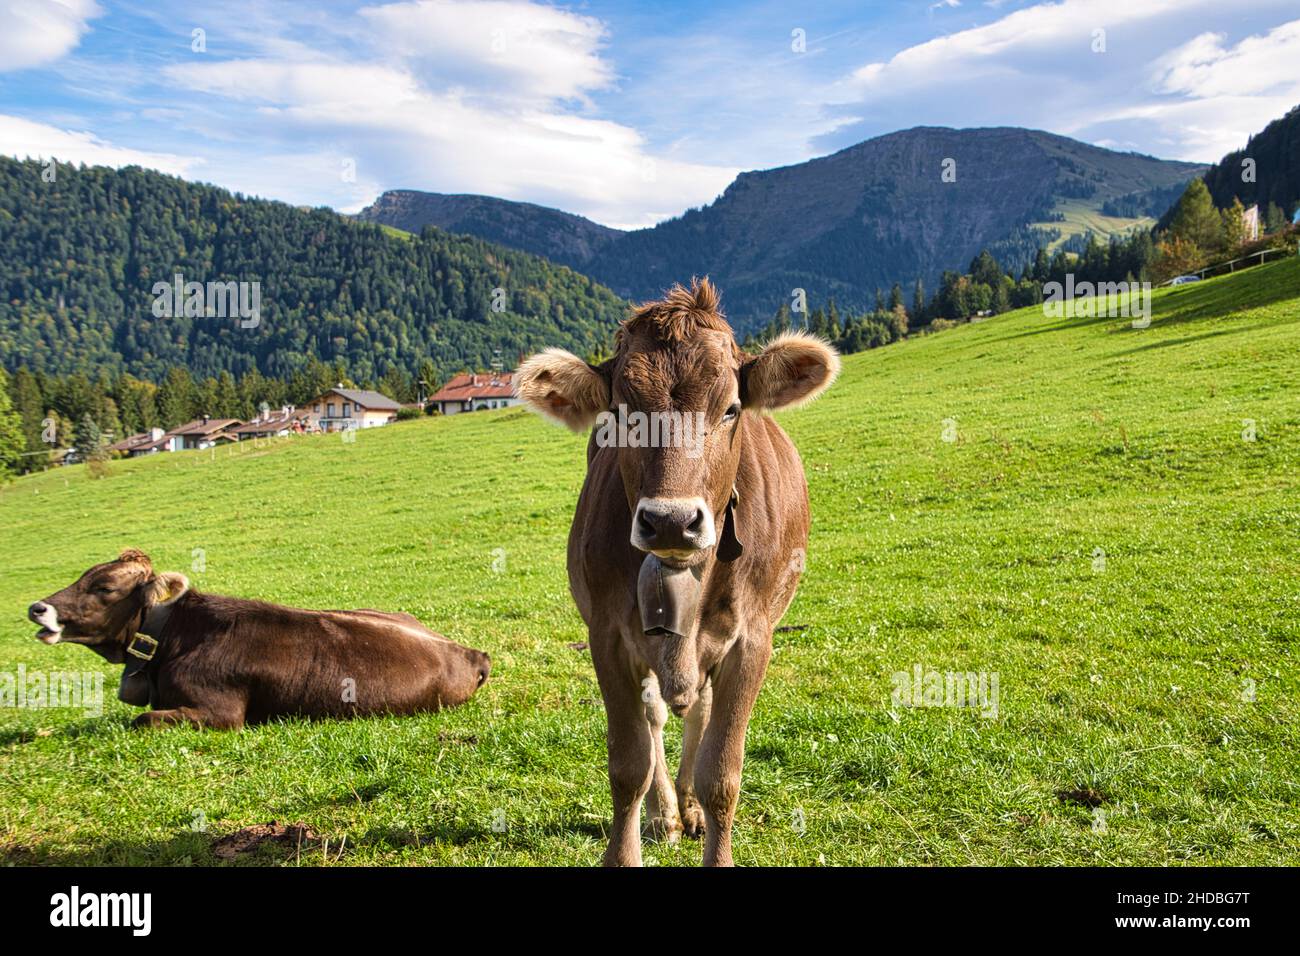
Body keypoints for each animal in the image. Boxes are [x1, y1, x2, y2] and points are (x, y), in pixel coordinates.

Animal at [27, 550, 490, 730]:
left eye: (104, 587)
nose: (37, 607)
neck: (177, 636)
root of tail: (470, 652)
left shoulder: (220, 713)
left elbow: (141, 719)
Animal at [516, 278, 838, 866]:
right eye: (620, 414)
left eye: (731, 409)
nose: (670, 520)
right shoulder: (607, 635)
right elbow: (630, 764)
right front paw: (628, 848)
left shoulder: (752, 638)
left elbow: (722, 772)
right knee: (658, 719)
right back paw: (665, 813)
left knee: (698, 713)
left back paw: (687, 808)